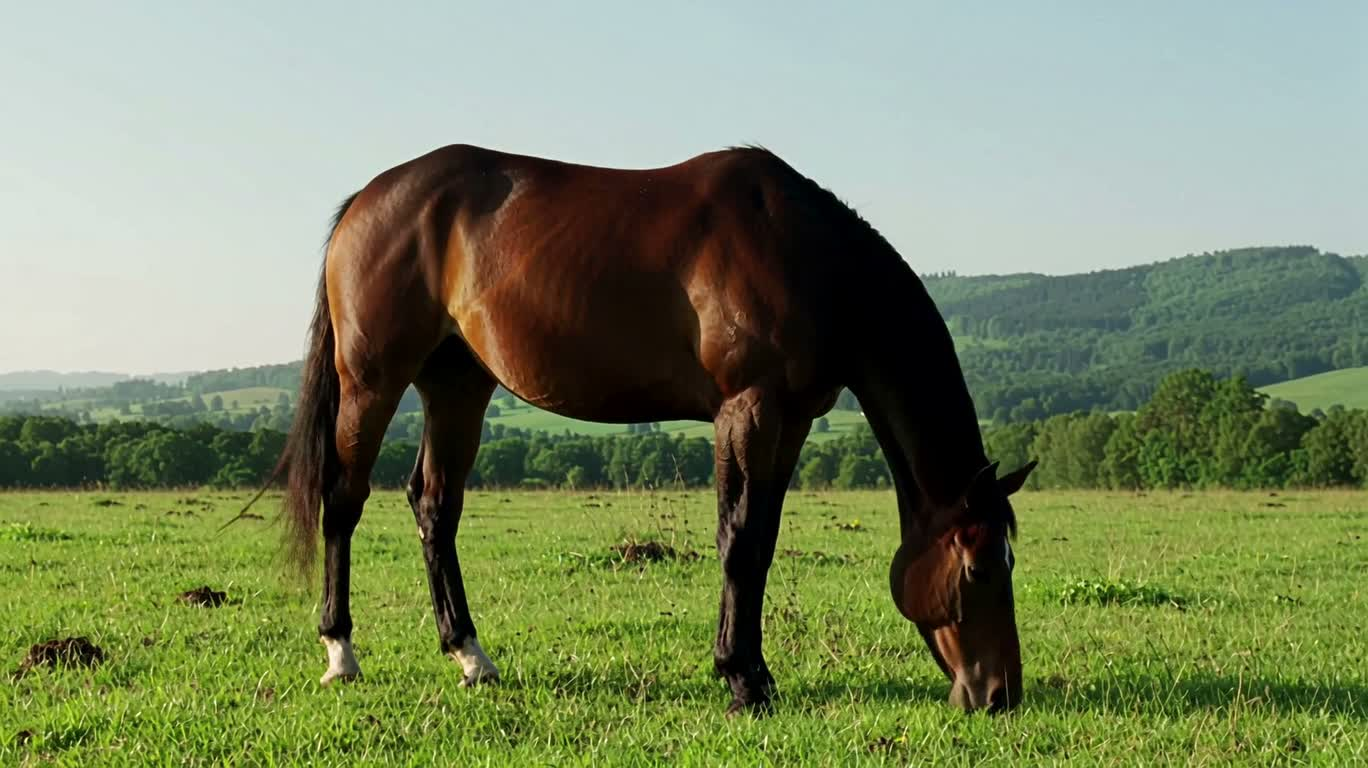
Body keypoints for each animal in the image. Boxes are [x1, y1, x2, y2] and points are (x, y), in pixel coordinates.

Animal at [264, 142, 1037, 715]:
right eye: (977, 567)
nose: (1000, 693)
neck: (807, 258)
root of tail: (368, 200)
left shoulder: (790, 422)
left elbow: (762, 543)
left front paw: (754, 671)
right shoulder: (748, 409)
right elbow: (739, 541)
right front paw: (742, 680)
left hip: (457, 384)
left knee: (435, 507)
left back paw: (471, 655)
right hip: (372, 382)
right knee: (344, 501)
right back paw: (340, 653)